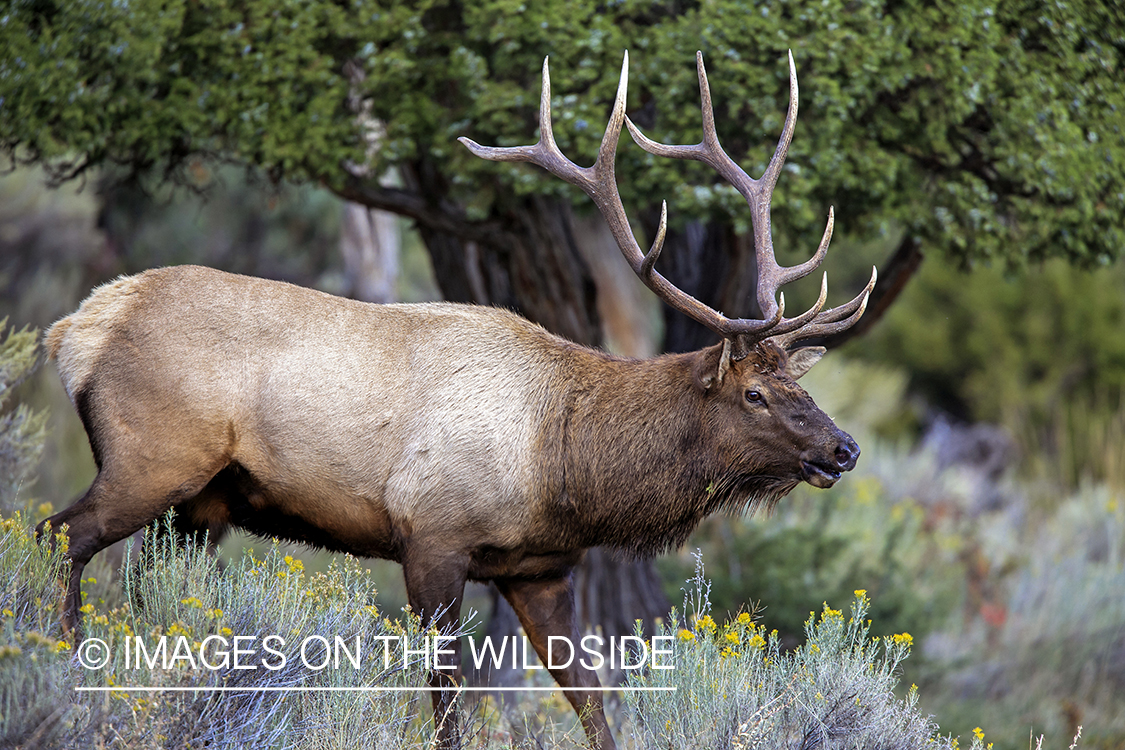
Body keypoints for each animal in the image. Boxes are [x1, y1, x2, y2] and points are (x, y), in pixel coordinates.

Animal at [39, 52, 873, 750]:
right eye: (755, 393)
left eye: (801, 384)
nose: (843, 449)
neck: (564, 463)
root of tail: (78, 327)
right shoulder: (432, 535)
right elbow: (447, 697)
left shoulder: (540, 568)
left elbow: (590, 700)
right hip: (153, 457)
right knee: (60, 535)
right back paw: (62, 674)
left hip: (202, 505)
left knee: (144, 591)